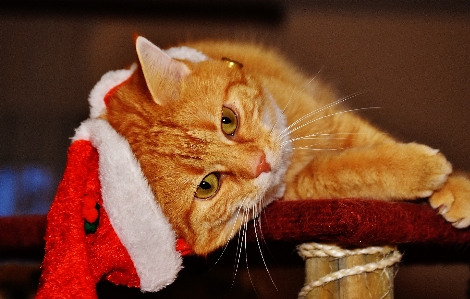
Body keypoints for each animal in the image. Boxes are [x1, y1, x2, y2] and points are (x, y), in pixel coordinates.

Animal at [103, 37, 470, 255]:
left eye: (228, 121)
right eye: (207, 186)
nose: (261, 162)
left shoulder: (335, 121)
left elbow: (378, 144)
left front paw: (456, 187)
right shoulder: (303, 186)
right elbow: (351, 171)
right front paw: (424, 171)